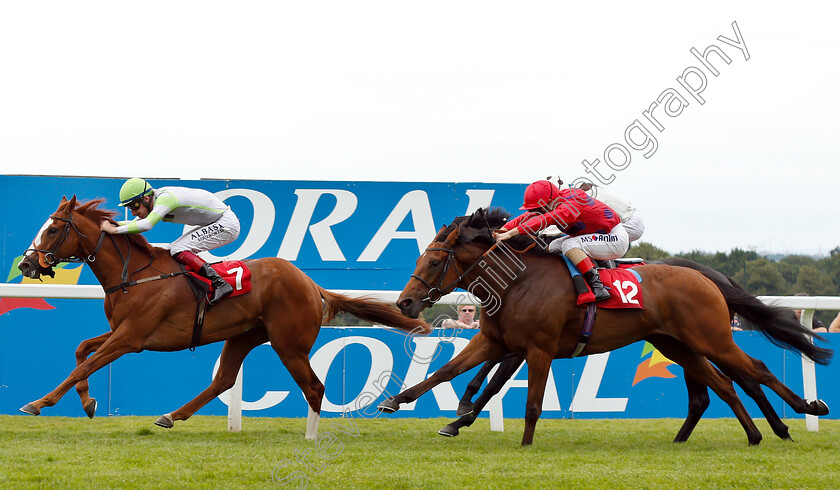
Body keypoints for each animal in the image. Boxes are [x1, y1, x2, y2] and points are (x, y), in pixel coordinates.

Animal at [17, 197, 430, 438]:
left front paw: (38, 403)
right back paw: (171, 415)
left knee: (314, 388)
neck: (133, 274)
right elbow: (81, 351)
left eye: (53, 229)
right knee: (225, 379)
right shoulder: (120, 331)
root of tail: (311, 284)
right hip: (244, 335)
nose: (25, 264)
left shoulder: (131, 338)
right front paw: (87, 403)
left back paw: (311, 438)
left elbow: (85, 365)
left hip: (289, 344)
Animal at [378, 209, 832, 446]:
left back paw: (803, 412)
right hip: (676, 344)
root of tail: (705, 278)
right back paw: (753, 434)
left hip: (712, 338)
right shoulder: (495, 341)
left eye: (433, 260)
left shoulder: (537, 349)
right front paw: (397, 401)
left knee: (756, 370)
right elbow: (447, 372)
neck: (516, 280)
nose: (405, 302)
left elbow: (528, 400)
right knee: (720, 385)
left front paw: (523, 445)